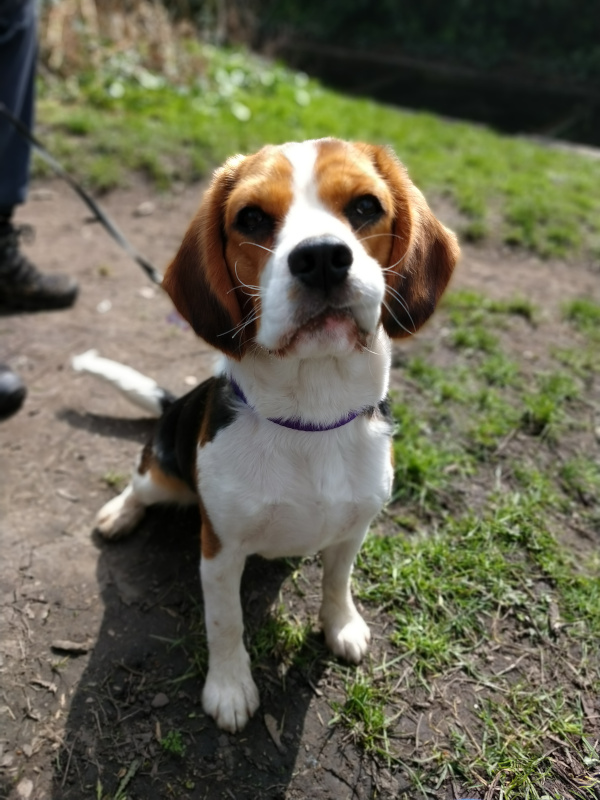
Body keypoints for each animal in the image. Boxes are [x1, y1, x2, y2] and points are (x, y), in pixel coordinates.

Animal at [75, 138, 460, 732]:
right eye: (251, 218)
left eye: (366, 206)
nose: (322, 257)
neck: (312, 416)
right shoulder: (219, 551)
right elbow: (225, 623)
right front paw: (230, 689)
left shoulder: (354, 529)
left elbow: (336, 582)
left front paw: (341, 626)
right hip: (163, 475)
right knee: (140, 483)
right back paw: (120, 514)